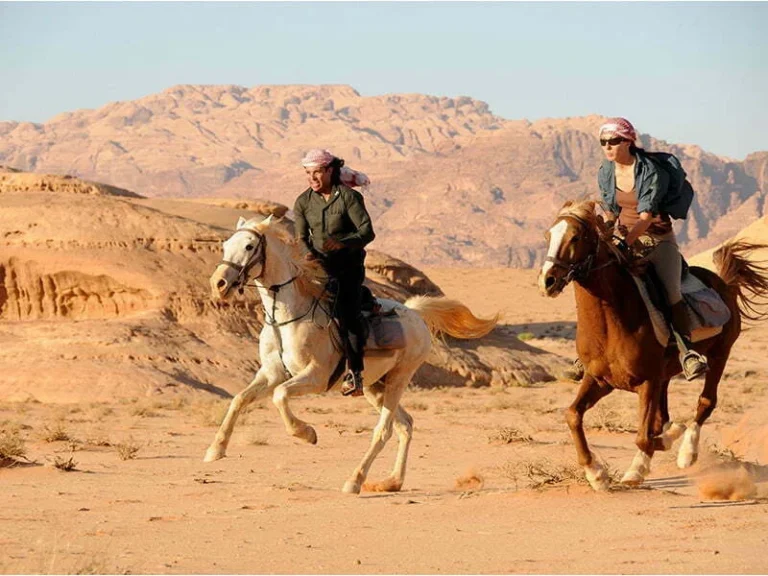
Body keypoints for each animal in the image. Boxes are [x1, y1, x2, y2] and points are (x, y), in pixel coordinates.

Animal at [202, 216, 498, 496]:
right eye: (225, 245)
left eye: (249, 246)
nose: (219, 284)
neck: (287, 317)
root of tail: (415, 314)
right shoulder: (272, 373)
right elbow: (239, 399)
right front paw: (216, 449)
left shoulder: (316, 377)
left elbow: (280, 396)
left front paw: (307, 433)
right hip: (373, 387)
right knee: (405, 425)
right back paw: (392, 482)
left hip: (399, 379)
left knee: (384, 431)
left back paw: (354, 481)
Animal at [536, 200, 768, 488]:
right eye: (548, 236)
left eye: (576, 236)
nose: (547, 281)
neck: (612, 323)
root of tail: (725, 283)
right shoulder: (600, 379)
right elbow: (572, 415)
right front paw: (596, 473)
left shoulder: (646, 382)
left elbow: (643, 436)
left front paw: (637, 469)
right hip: (666, 374)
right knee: (662, 417)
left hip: (719, 355)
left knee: (705, 402)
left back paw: (686, 453)